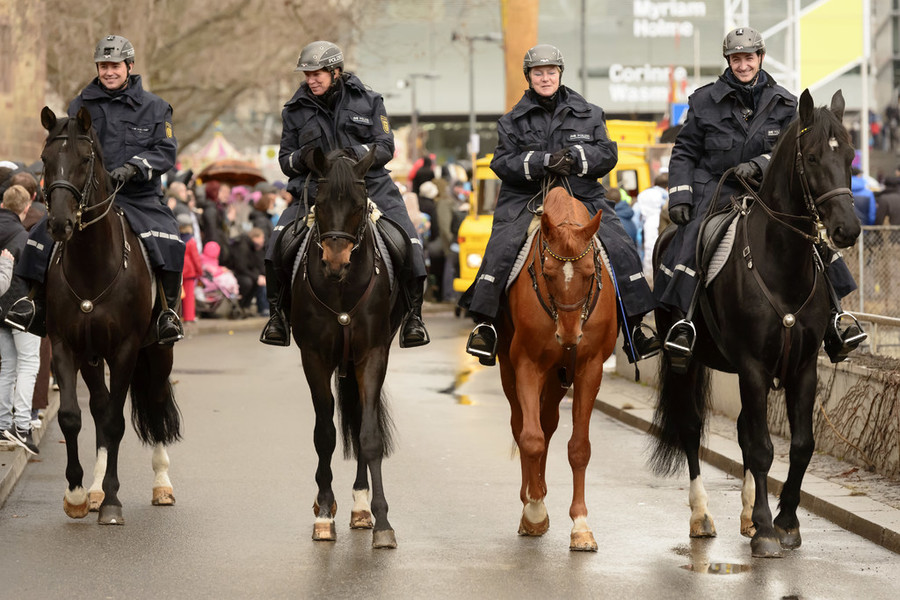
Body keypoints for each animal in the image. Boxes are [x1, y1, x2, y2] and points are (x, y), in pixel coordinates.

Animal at [39, 106, 181, 524]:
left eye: (85, 160)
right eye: (45, 159)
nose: (60, 223)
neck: (92, 264)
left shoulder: (125, 349)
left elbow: (117, 422)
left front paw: (114, 502)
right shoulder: (66, 347)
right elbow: (75, 417)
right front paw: (76, 494)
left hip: (158, 351)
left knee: (155, 399)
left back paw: (161, 483)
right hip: (91, 357)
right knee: (100, 409)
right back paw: (96, 489)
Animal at [292, 146, 404, 548]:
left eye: (358, 204)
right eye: (320, 202)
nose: (335, 261)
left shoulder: (372, 355)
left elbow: (368, 437)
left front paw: (382, 521)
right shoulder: (314, 357)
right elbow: (324, 434)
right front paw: (325, 513)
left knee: (358, 421)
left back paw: (361, 507)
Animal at [500, 185, 620, 552]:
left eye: (588, 273)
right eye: (549, 274)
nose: (569, 336)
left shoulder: (589, 370)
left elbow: (578, 448)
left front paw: (580, 525)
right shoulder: (526, 365)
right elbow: (530, 438)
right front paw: (534, 512)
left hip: (557, 381)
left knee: (549, 423)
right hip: (512, 372)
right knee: (522, 425)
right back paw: (530, 497)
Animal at [648, 89, 856, 556]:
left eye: (851, 156)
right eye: (812, 157)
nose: (848, 229)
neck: (781, 262)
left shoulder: (803, 368)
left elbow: (799, 445)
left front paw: (786, 523)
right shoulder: (754, 367)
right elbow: (761, 448)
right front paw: (765, 530)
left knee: (744, 429)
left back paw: (744, 515)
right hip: (687, 363)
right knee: (691, 428)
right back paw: (702, 515)